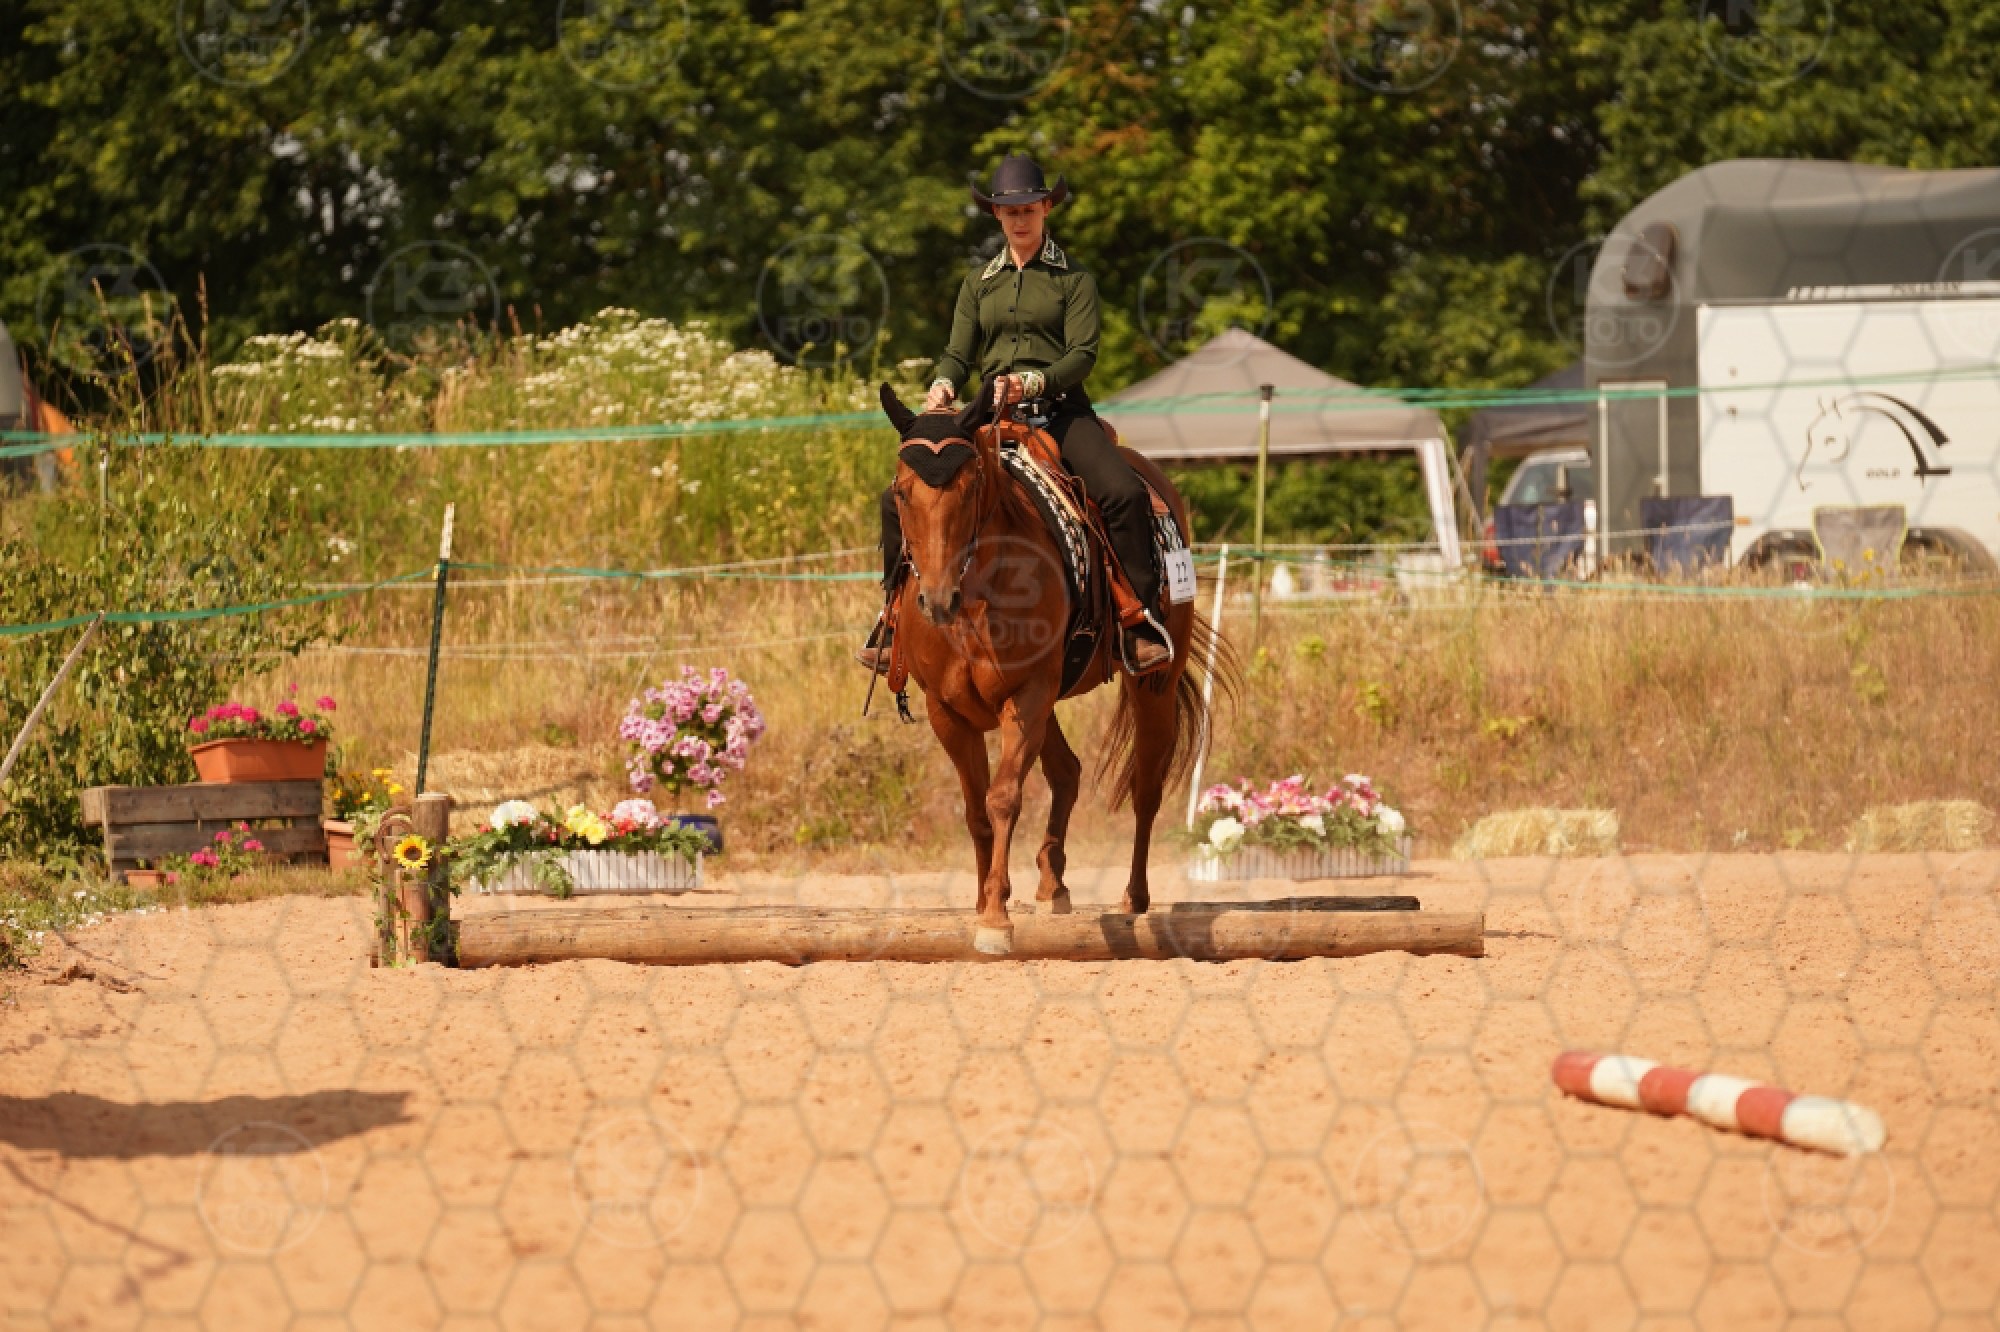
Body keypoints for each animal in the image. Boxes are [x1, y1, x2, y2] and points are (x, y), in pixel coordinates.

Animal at [877, 380, 1234, 955]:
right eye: (903, 491)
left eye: (969, 488)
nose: (937, 599)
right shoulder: (946, 711)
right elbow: (976, 810)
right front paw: (982, 901)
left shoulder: (1025, 695)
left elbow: (1003, 798)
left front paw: (995, 919)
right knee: (1067, 771)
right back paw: (1053, 883)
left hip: (1150, 685)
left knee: (1146, 788)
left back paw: (1133, 899)